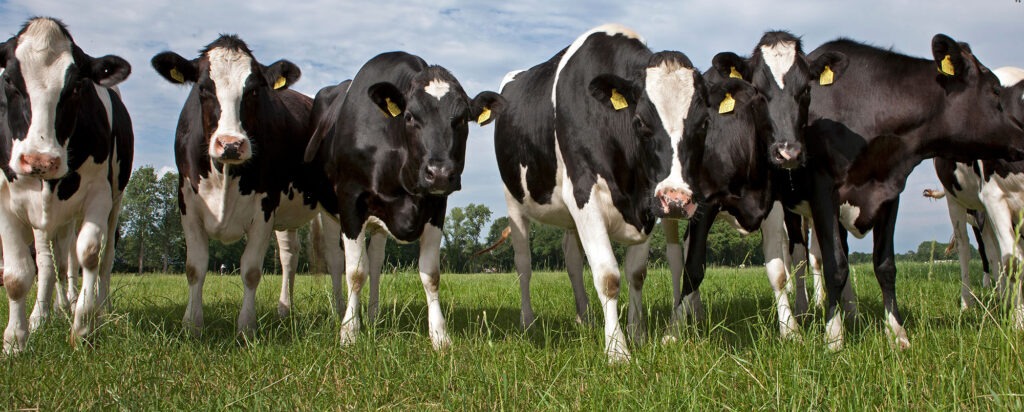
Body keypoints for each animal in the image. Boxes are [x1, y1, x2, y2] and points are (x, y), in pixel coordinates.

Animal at [0, 17, 133, 353]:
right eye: (8, 80)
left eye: (76, 87)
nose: (40, 160)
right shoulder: (5, 200)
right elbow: (18, 275)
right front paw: (15, 339)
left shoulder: (100, 194)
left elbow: (89, 253)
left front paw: (83, 325)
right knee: (53, 263)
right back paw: (48, 312)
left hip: (115, 200)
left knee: (102, 259)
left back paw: (99, 307)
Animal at [151, 35, 344, 337]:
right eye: (203, 88)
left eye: (253, 91)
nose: (231, 144)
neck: (225, 175)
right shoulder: (188, 206)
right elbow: (195, 267)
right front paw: (192, 325)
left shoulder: (264, 208)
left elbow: (251, 270)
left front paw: (246, 328)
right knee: (289, 256)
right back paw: (284, 310)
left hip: (325, 205)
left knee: (335, 257)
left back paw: (337, 310)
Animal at [305, 51, 503, 351]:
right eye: (410, 116)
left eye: (461, 119)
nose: (440, 173)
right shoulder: (351, 201)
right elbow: (355, 272)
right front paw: (349, 332)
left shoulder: (437, 207)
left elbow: (430, 274)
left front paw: (440, 335)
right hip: (328, 212)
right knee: (337, 262)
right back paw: (340, 312)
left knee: (376, 262)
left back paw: (373, 315)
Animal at [493, 24, 710, 361]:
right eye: (640, 123)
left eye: (704, 123)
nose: (676, 200)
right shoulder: (585, 194)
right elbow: (608, 276)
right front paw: (617, 351)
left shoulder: (647, 206)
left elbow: (636, 273)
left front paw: (638, 334)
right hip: (514, 201)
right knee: (523, 264)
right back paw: (528, 323)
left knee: (571, 260)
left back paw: (585, 319)